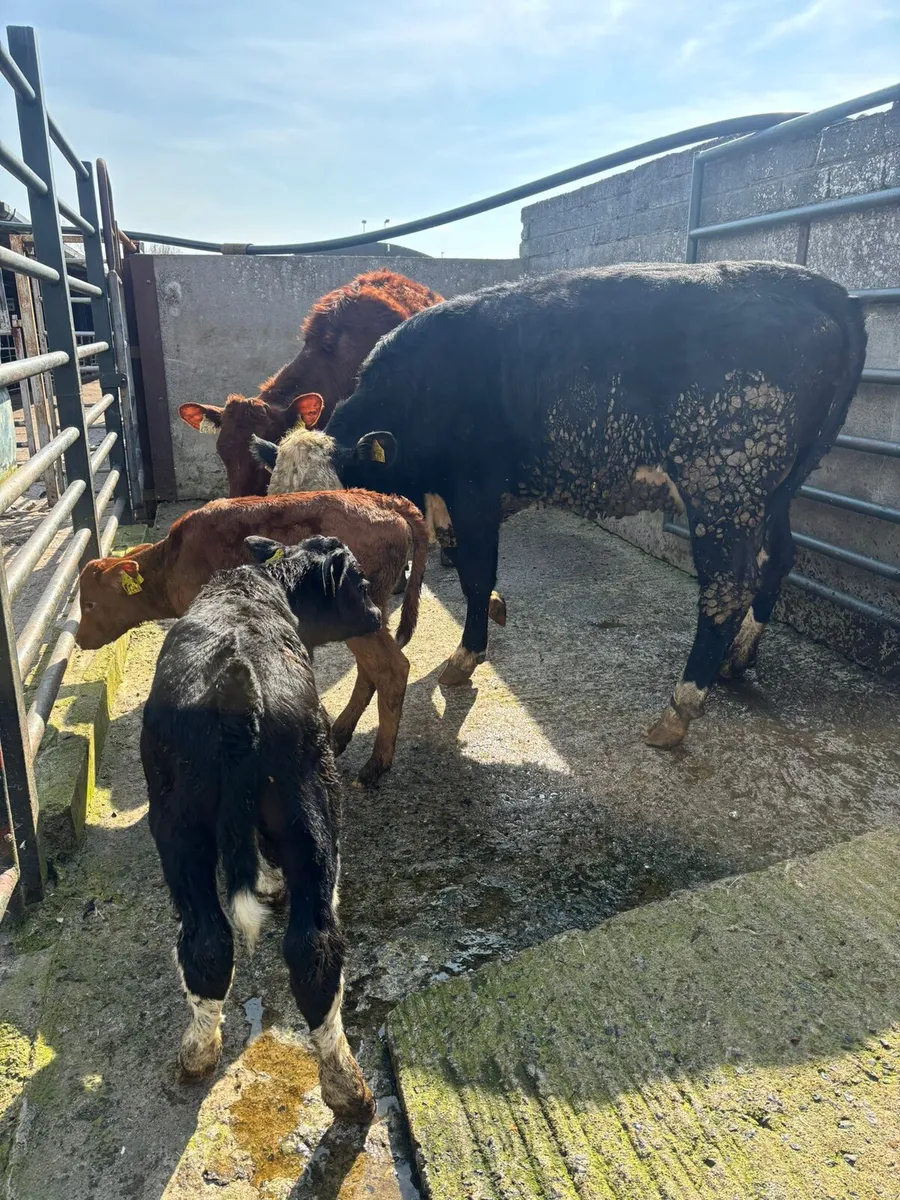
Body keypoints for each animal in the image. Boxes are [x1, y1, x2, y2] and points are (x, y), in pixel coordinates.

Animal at [76, 490, 429, 783]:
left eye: (90, 603)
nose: (79, 640)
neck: (172, 561)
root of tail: (384, 500)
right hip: (371, 617)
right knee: (370, 672)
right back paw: (341, 734)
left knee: (392, 669)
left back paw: (376, 764)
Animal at [141, 534, 378, 1120]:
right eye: (361, 580)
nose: (378, 613)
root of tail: (235, 685)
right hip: (313, 805)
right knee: (314, 947)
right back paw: (347, 1089)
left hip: (178, 825)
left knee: (208, 942)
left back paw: (199, 1054)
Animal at [245, 262, 867, 749]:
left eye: (333, 519)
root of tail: (812, 283)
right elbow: (469, 568)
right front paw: (493, 615)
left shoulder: (475, 492)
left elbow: (476, 574)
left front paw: (465, 657)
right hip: (773, 490)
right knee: (778, 558)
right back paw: (738, 659)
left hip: (724, 480)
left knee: (726, 587)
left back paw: (681, 705)